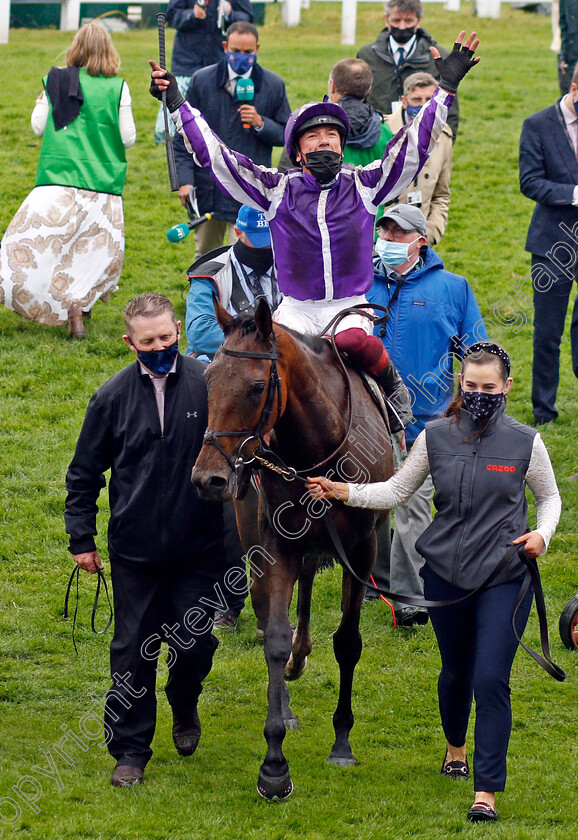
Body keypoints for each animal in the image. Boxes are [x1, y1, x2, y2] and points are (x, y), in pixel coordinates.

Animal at [191, 296, 394, 800]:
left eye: (256, 386)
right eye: (209, 380)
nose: (208, 478)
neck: (318, 447)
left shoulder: (360, 549)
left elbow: (348, 642)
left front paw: (342, 743)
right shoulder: (277, 545)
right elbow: (276, 640)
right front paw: (274, 764)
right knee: (272, 615)